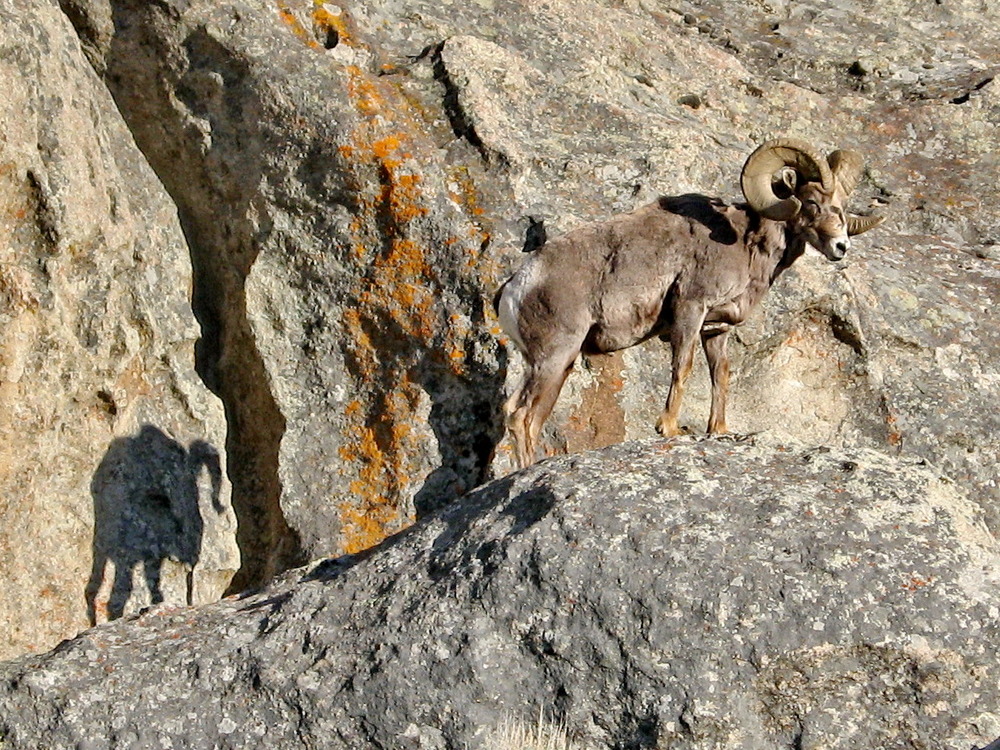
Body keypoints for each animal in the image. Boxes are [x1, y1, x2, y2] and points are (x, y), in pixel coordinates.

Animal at [495, 138, 883, 469]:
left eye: (841, 208)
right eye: (813, 203)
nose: (840, 247)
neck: (746, 244)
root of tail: (514, 289)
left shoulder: (716, 329)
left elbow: (720, 375)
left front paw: (719, 430)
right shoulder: (690, 311)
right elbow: (682, 367)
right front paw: (668, 428)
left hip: (559, 365)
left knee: (526, 416)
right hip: (553, 359)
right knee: (520, 416)